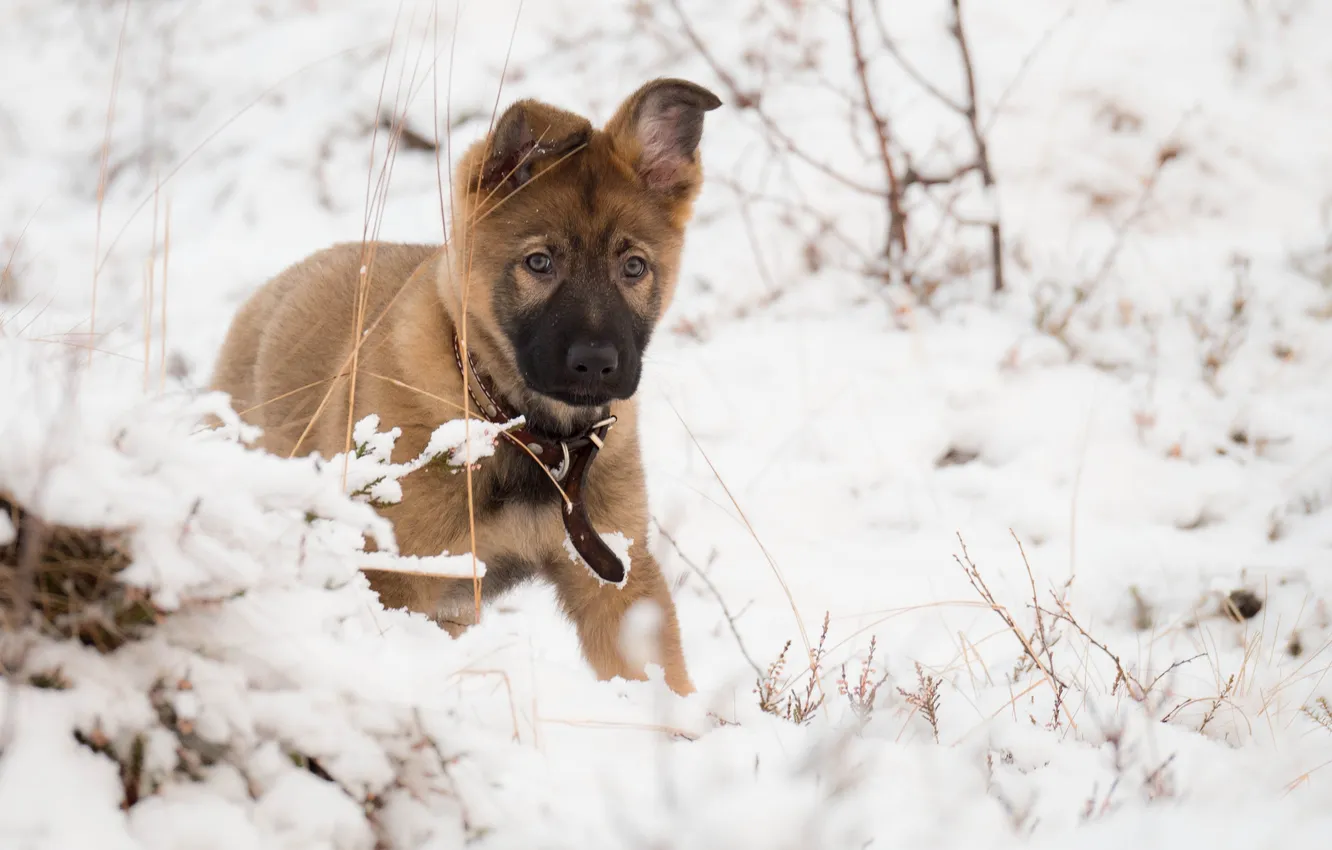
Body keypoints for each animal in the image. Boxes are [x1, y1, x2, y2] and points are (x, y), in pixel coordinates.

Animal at [213, 78, 724, 698]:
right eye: (539, 262)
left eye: (633, 267)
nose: (597, 365)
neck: (524, 433)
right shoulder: (396, 577)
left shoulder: (615, 572)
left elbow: (661, 682)